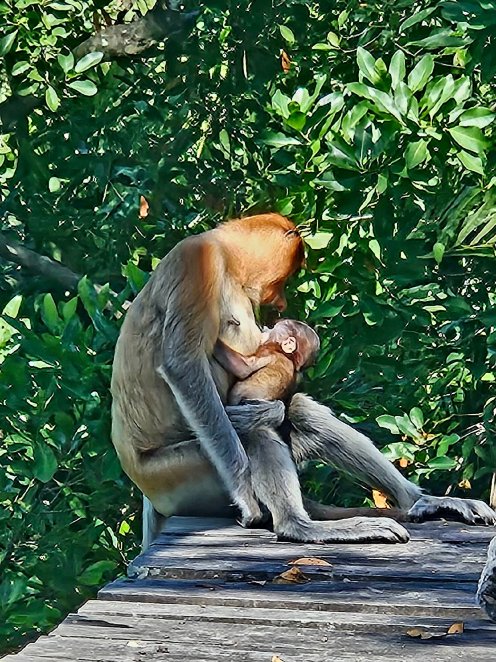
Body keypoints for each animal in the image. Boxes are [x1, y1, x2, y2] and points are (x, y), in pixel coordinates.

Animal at [110, 213, 496, 550]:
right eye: (283, 279)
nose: (279, 303)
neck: (225, 258)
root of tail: (148, 492)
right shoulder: (197, 261)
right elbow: (184, 366)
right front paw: (247, 496)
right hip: (185, 472)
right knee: (256, 433)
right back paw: (299, 526)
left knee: (302, 412)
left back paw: (422, 502)